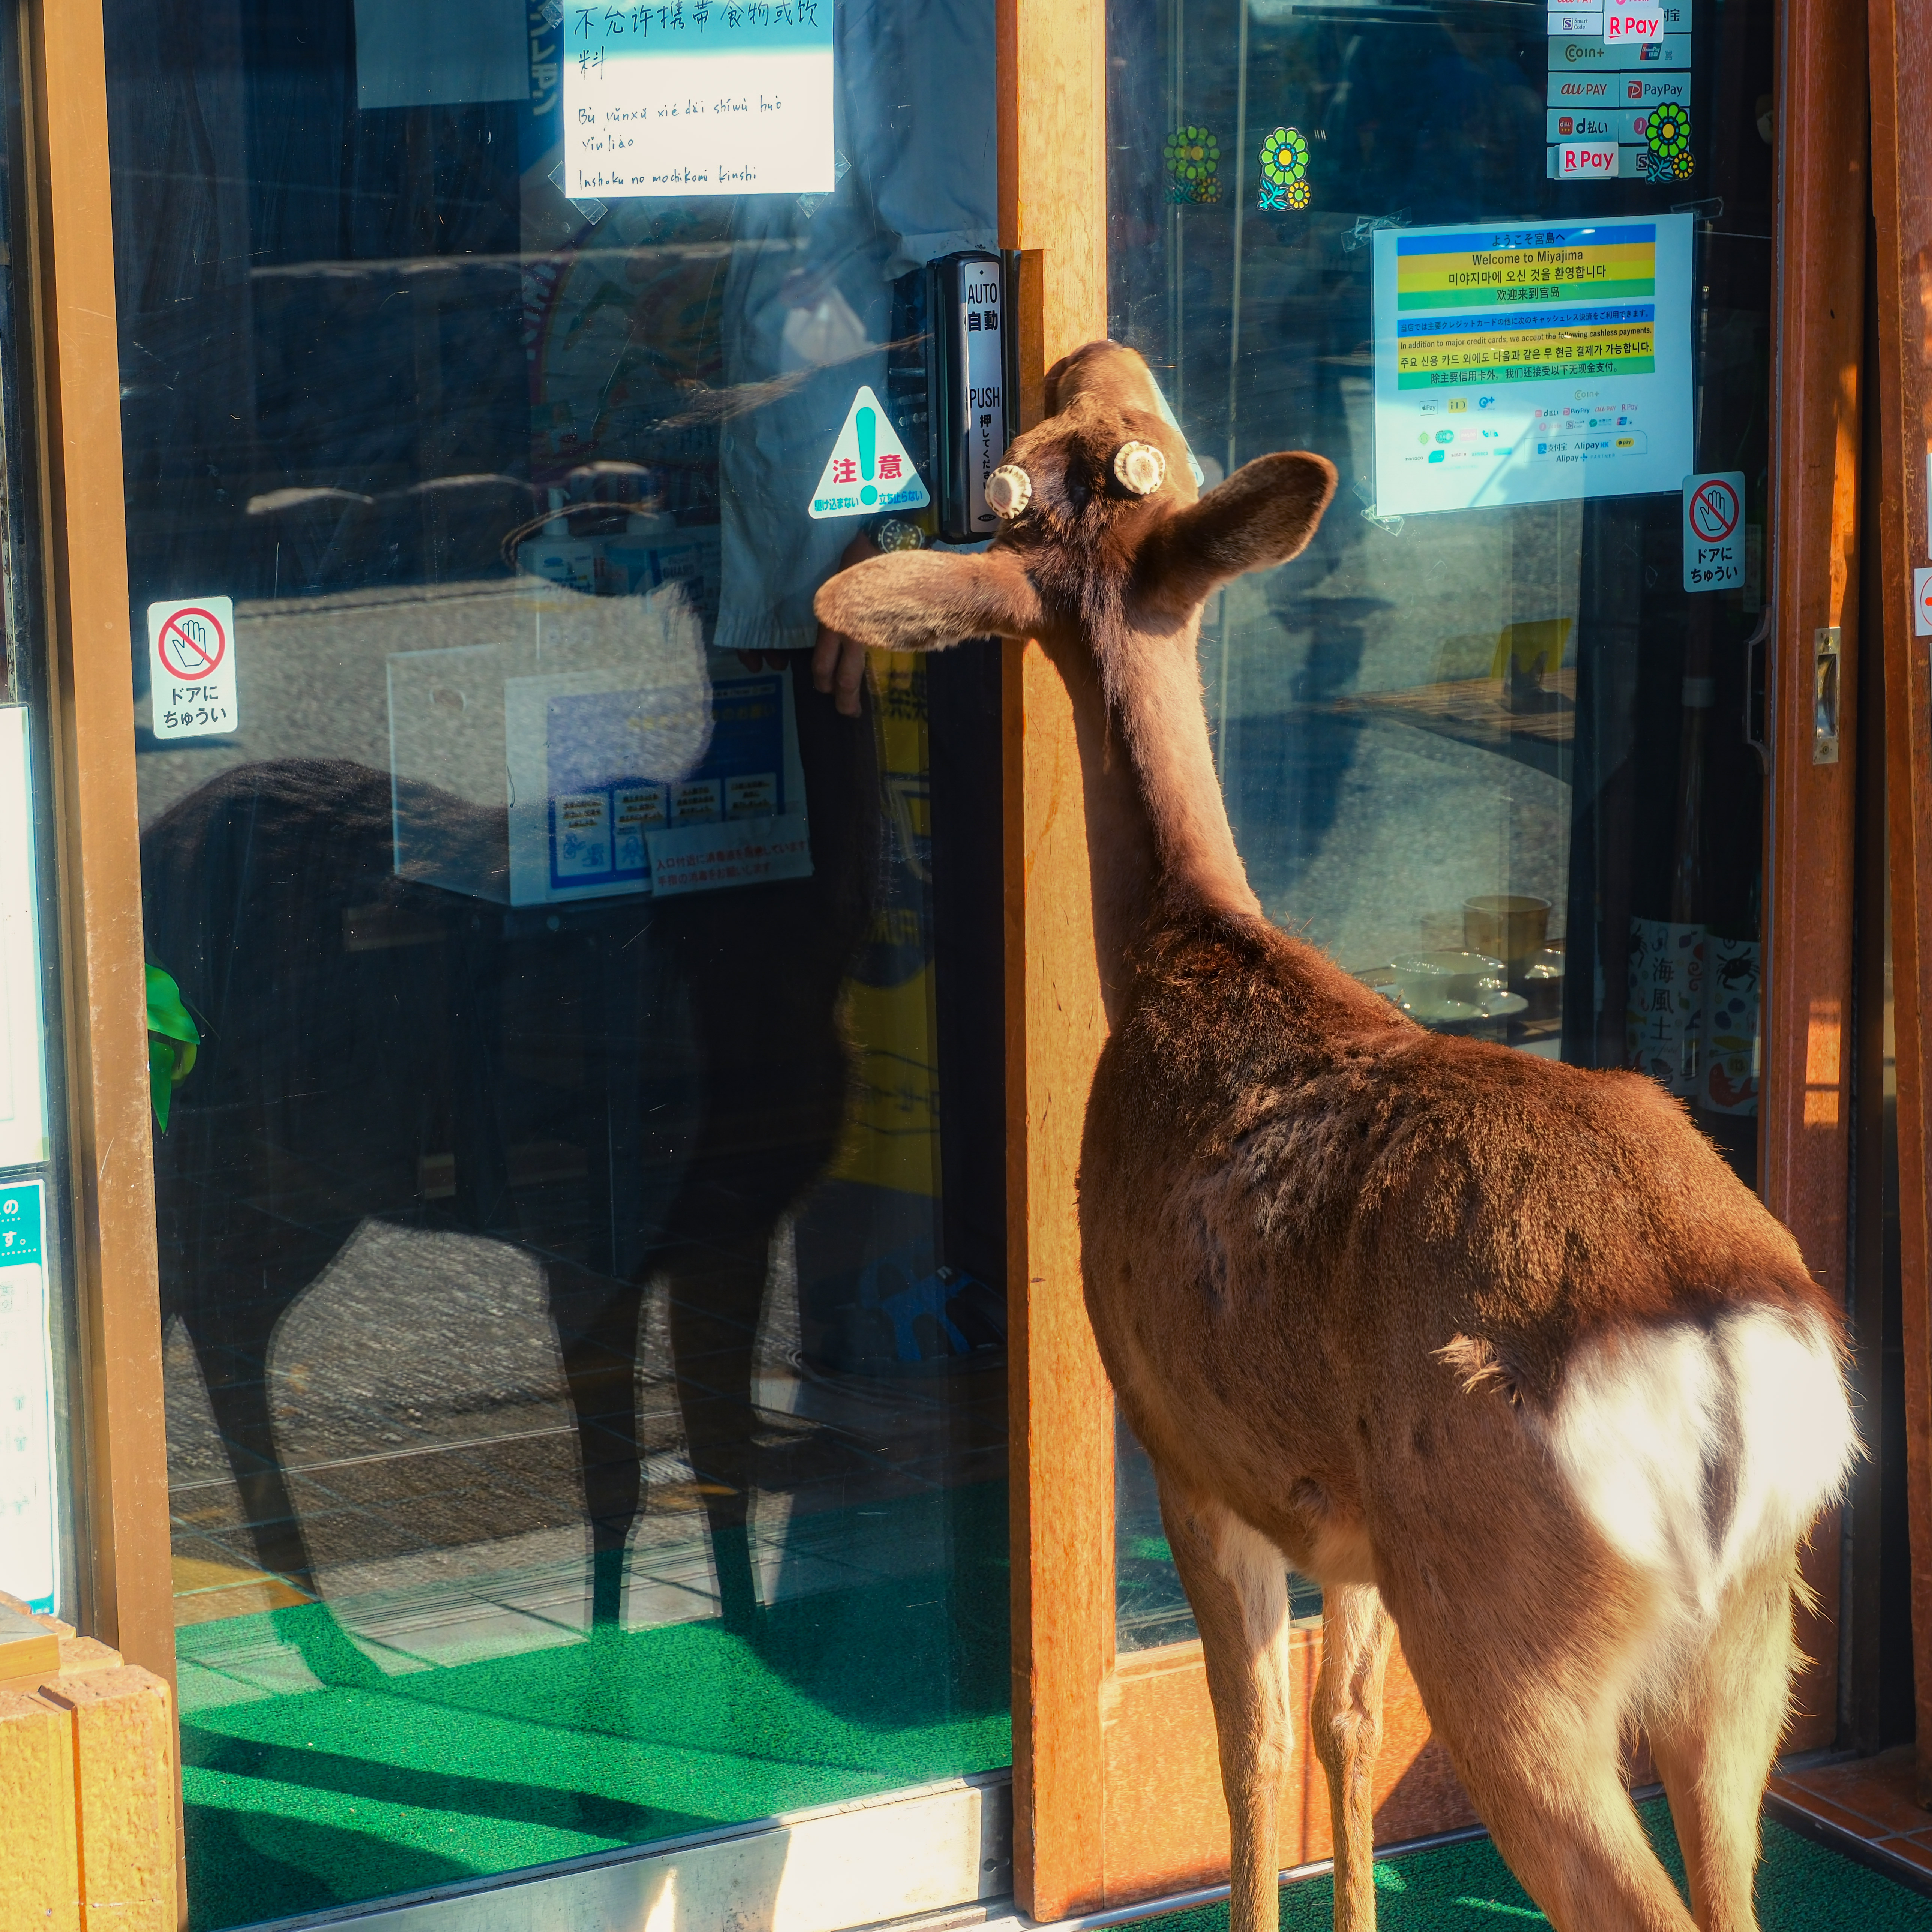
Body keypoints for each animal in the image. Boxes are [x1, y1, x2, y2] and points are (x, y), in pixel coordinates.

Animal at [812, 339, 1857, 1932]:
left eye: (1103, 436)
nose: (1084, 349)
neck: (1186, 951)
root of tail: (1718, 1345)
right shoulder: (1344, 1513)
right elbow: (1344, 1725)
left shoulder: (1183, 1445)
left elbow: (1246, 1753)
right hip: (1748, 1629)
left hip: (1513, 1627)